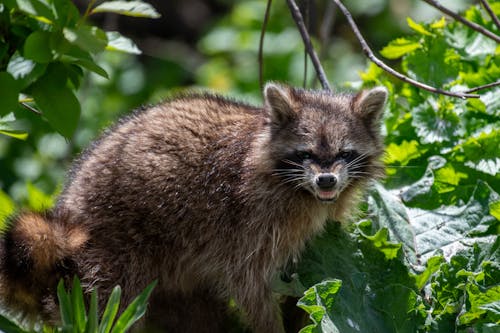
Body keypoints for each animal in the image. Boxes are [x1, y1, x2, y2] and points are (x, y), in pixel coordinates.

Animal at [0, 83, 386, 332]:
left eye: (344, 153)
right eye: (305, 153)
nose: (327, 181)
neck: (303, 191)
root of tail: (67, 213)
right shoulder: (249, 220)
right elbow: (249, 285)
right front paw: (271, 326)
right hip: (112, 249)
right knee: (111, 308)